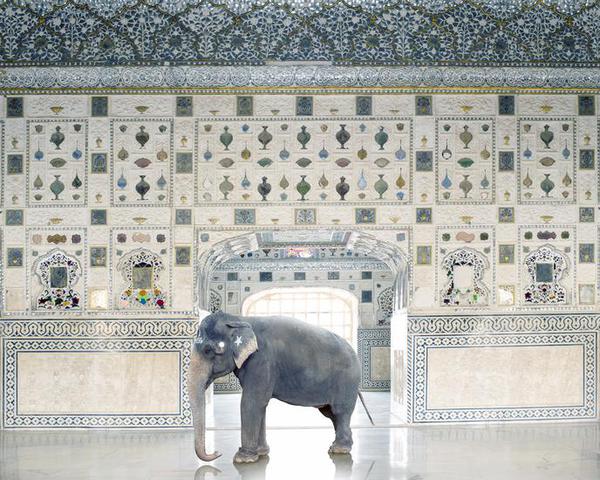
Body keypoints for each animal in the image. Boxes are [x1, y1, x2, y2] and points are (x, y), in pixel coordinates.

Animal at [186, 310, 370, 464]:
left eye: (208, 350)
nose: (217, 453)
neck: (240, 319)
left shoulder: (262, 360)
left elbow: (251, 402)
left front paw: (243, 459)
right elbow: (260, 404)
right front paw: (261, 453)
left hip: (347, 380)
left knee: (340, 411)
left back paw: (339, 450)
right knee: (331, 413)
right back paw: (338, 447)